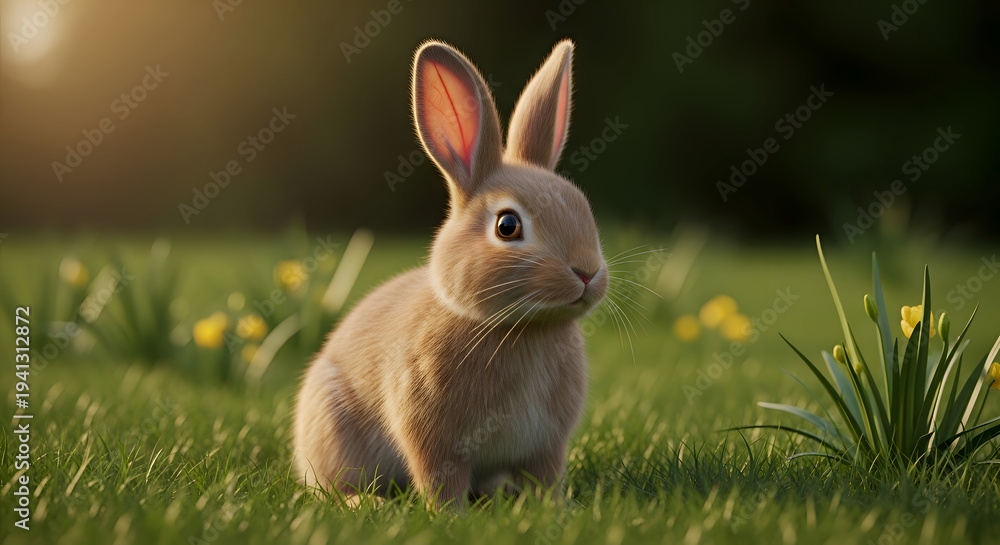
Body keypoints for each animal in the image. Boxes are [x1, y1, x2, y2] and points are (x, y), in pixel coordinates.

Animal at [293, 38, 608, 509]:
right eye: (507, 225)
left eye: (583, 207)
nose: (587, 273)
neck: (518, 328)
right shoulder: (434, 441)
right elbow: (441, 481)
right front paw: (451, 516)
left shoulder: (546, 447)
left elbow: (545, 479)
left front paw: (554, 511)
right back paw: (366, 503)